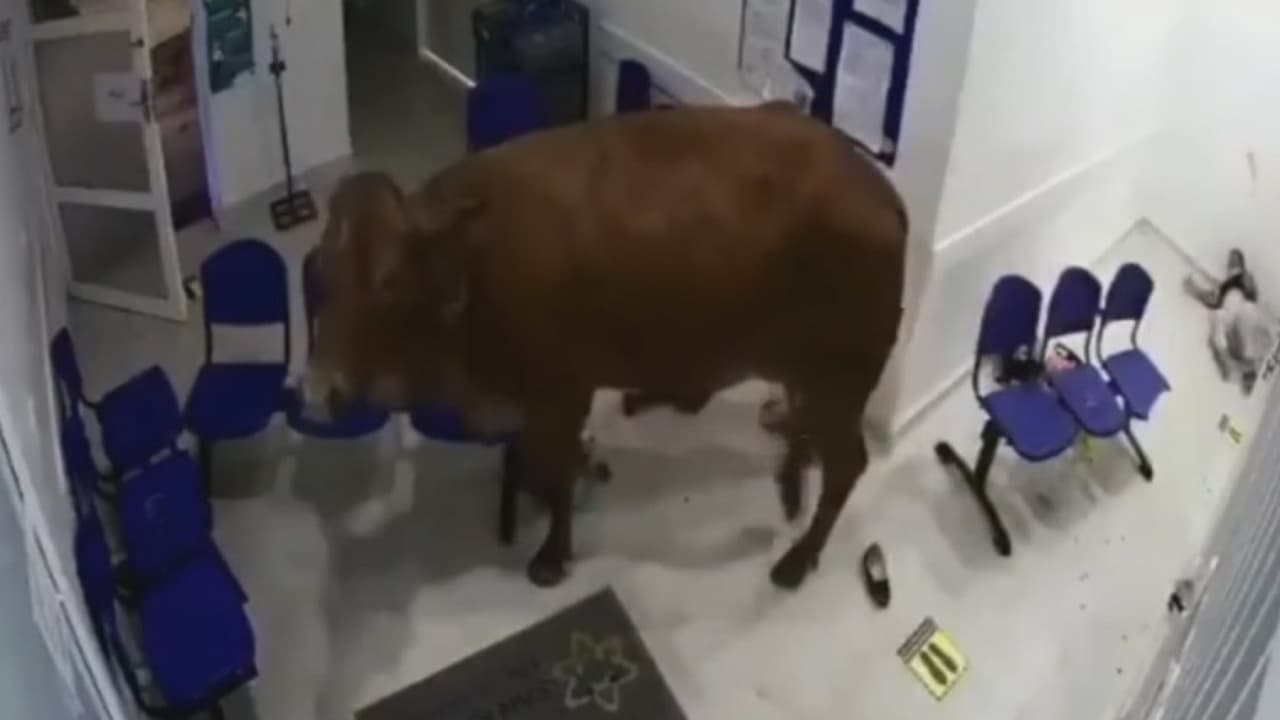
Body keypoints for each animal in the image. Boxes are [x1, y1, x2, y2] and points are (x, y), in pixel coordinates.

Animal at [300, 102, 907, 590]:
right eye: (324, 272)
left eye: (389, 281)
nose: (317, 390)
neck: (474, 261)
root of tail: (884, 196)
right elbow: (547, 464)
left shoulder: (560, 394)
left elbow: (557, 470)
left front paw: (552, 554)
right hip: (806, 375)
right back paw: (785, 474)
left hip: (841, 380)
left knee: (847, 465)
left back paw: (796, 560)